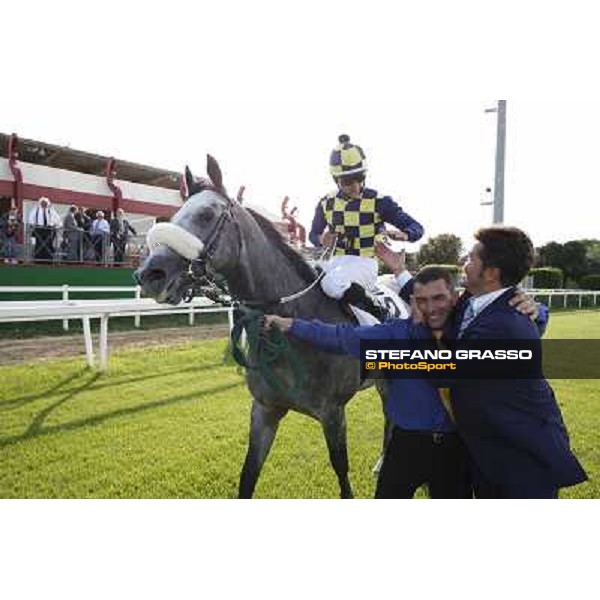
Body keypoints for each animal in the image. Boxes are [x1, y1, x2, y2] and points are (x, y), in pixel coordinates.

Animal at [134, 154, 392, 496]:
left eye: (205, 214)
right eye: (174, 216)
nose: (149, 274)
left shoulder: (333, 413)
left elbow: (341, 473)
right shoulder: (264, 411)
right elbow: (248, 476)